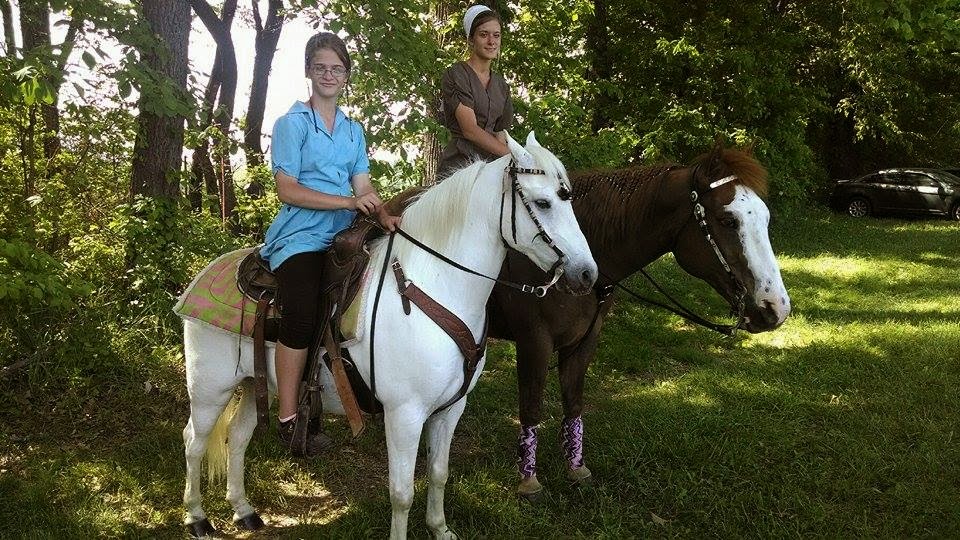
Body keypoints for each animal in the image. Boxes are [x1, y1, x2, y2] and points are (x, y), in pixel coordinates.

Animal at [179, 132, 598, 538]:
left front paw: (440, 528)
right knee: (194, 441)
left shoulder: (450, 409)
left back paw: (244, 511)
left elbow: (439, 474)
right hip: (210, 387)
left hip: (253, 382)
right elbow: (401, 493)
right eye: (543, 203)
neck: (430, 287)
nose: (587, 274)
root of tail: (202, 276)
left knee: (238, 436)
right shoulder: (404, 414)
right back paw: (197, 517)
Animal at [486, 143, 792, 497]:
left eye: (765, 218)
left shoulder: (584, 340)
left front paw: (577, 469)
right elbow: (531, 406)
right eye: (728, 220)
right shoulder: (534, 342)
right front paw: (528, 479)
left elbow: (573, 402)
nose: (775, 307)